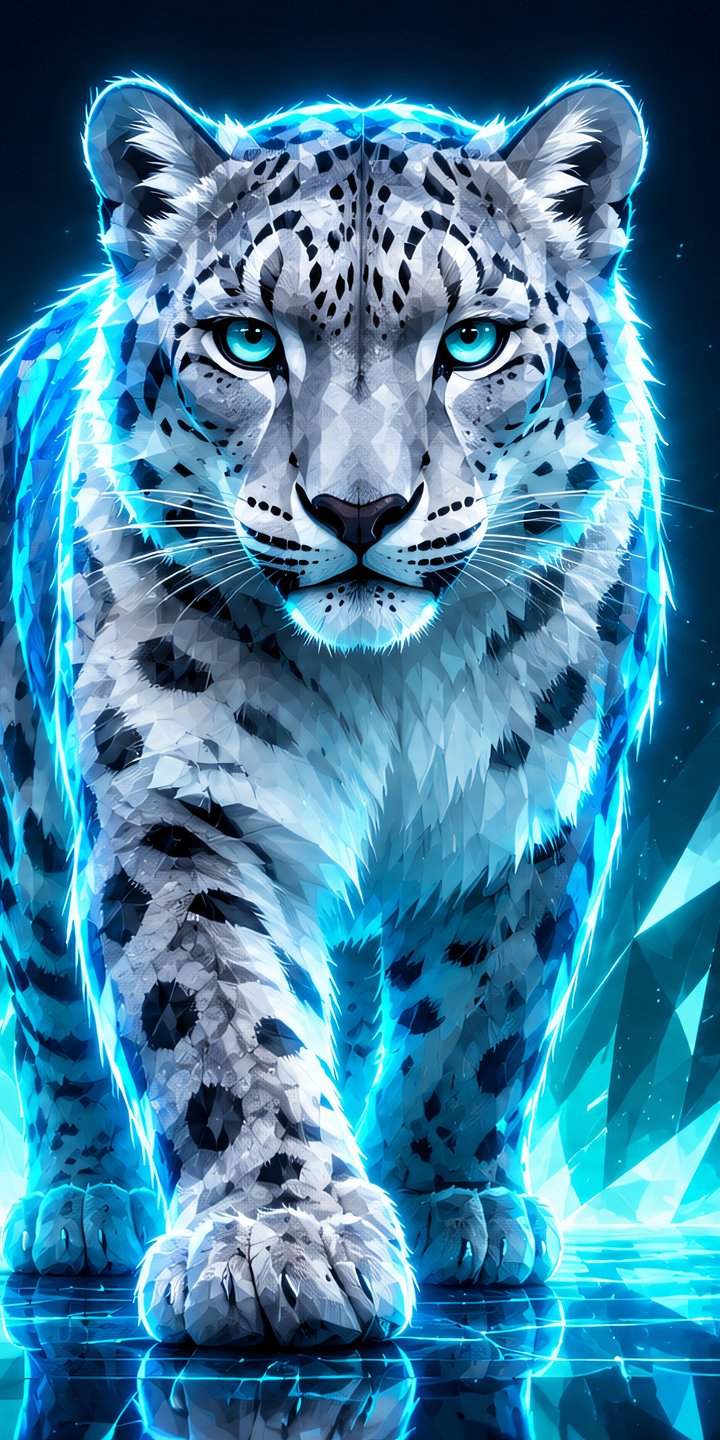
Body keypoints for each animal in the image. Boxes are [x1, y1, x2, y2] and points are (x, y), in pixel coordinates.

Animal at [0, 76, 666, 1347]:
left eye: (474, 341)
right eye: (248, 340)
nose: (361, 509)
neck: (385, 687)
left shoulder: (533, 817)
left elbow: (482, 1019)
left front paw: (455, 1201)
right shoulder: (182, 803)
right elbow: (218, 1019)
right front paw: (277, 1249)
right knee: (51, 1005)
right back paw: (80, 1207)